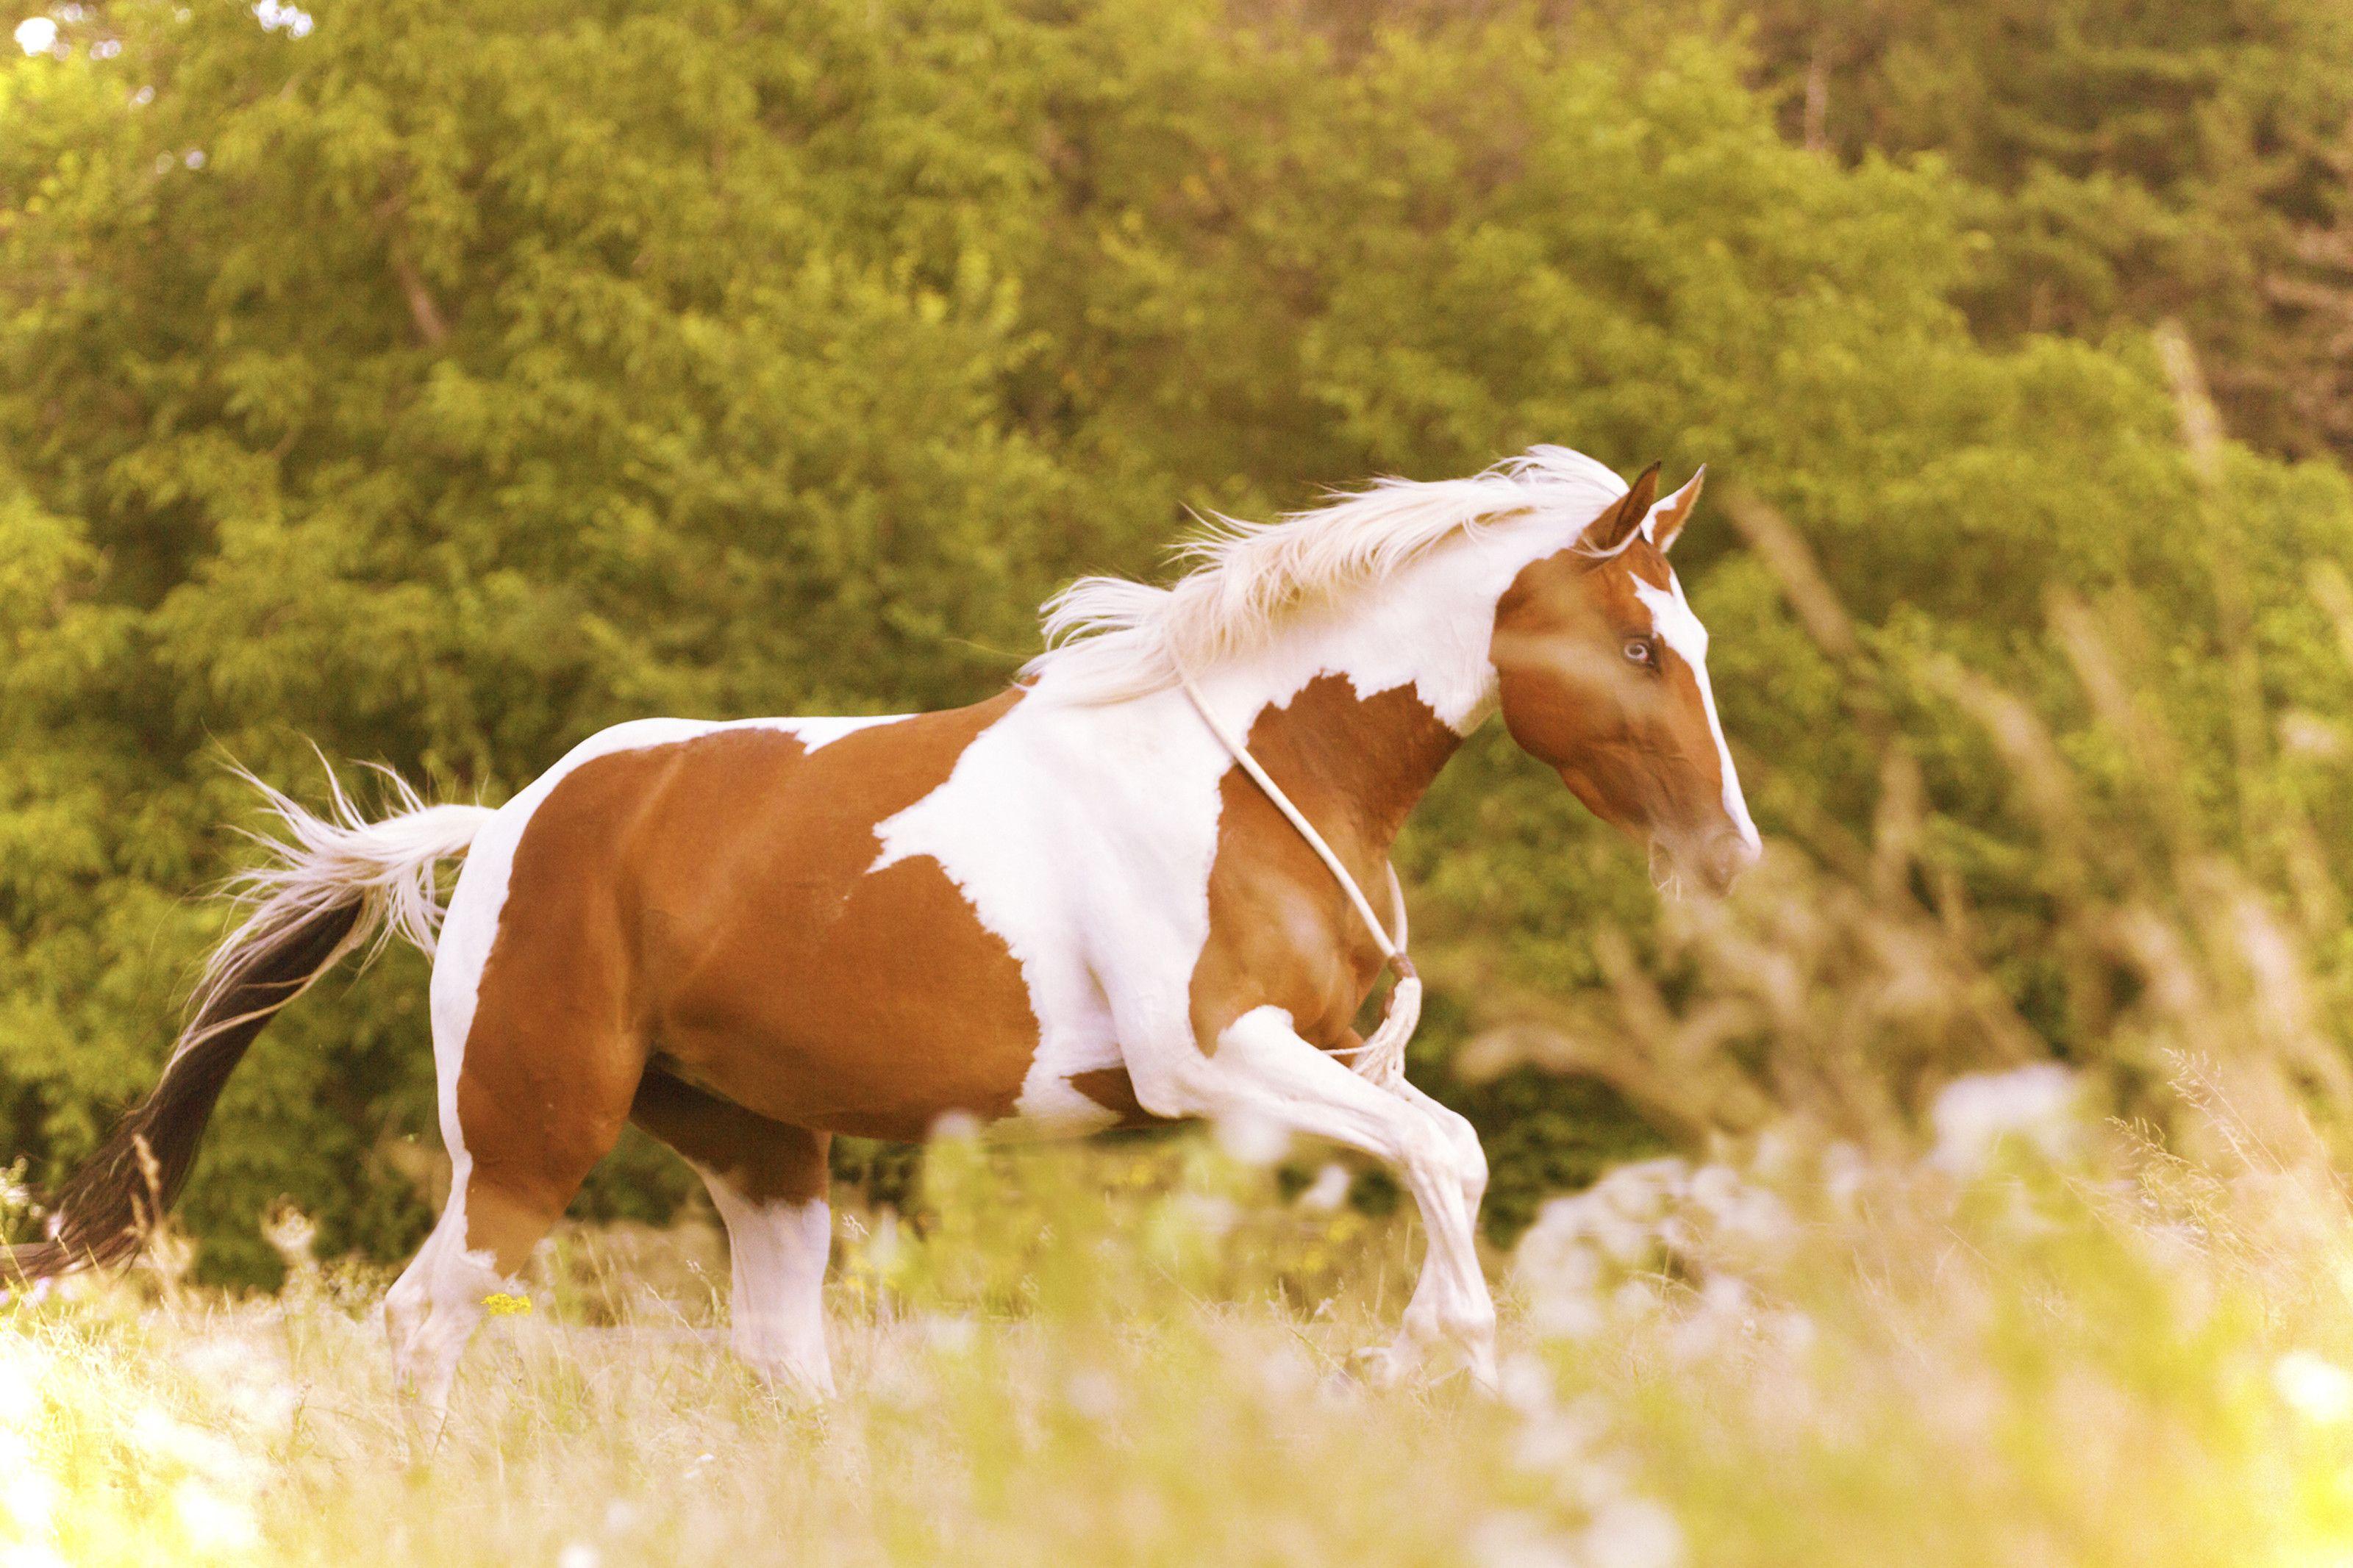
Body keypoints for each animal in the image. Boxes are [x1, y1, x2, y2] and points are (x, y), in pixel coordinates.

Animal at [5, 443, 1759, 1405]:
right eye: (1636, 646)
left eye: (1692, 638)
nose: (1729, 853)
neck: (1248, 776)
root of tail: (502, 826)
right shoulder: (1210, 1064)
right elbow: (1451, 1156)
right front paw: (1427, 1358)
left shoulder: (1327, 1058)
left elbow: (1440, 1153)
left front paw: (1420, 1356)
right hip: (524, 1144)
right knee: (418, 1327)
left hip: (766, 1157)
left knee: (779, 1359)